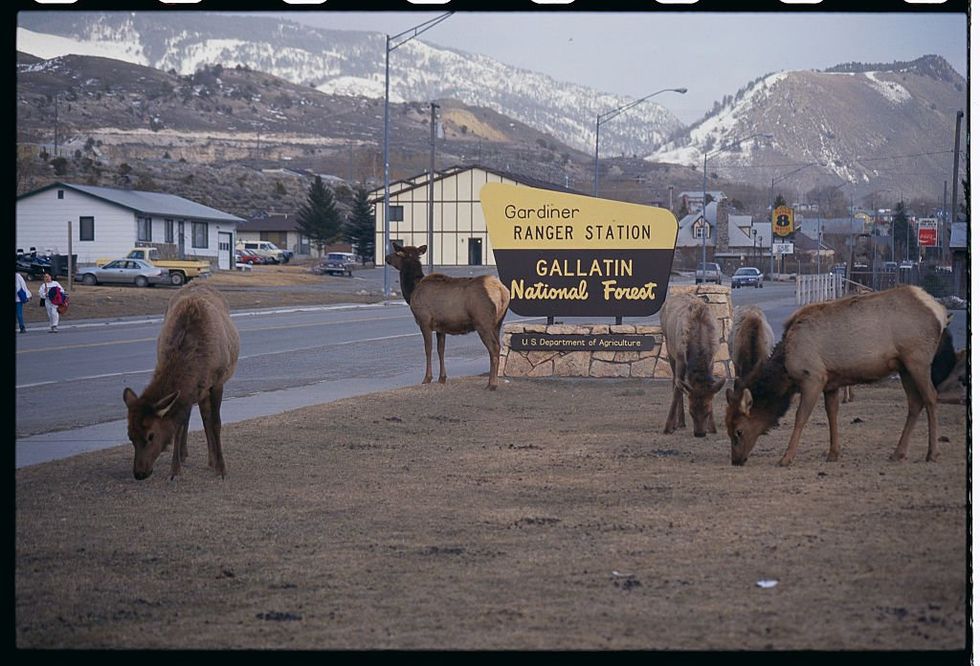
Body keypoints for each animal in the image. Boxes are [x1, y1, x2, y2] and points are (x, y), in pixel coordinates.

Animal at [122, 280, 239, 478]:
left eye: (151, 435)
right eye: (130, 435)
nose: (139, 473)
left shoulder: (217, 383)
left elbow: (216, 423)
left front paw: (221, 468)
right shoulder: (188, 390)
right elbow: (179, 423)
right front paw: (175, 469)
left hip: (205, 387)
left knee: (205, 418)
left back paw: (211, 459)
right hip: (196, 390)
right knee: (191, 417)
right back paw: (185, 454)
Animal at [382, 241, 510, 390]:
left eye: (397, 252)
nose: (386, 257)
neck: (411, 291)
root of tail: (501, 291)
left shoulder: (424, 321)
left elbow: (428, 349)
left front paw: (427, 378)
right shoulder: (441, 327)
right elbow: (441, 349)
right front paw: (442, 378)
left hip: (482, 322)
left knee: (494, 348)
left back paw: (492, 384)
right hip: (498, 323)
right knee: (498, 346)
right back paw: (493, 381)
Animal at [660, 290, 728, 436]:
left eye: (708, 411)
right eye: (691, 411)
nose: (700, 433)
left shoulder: (712, 360)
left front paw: (712, 427)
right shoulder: (680, 357)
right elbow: (678, 389)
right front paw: (668, 427)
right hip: (669, 347)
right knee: (674, 381)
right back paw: (678, 422)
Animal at [728, 282, 956, 464]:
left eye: (739, 431)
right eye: (727, 427)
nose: (736, 460)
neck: (786, 370)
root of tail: (939, 312)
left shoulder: (813, 377)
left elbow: (800, 417)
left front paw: (786, 457)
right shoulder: (831, 382)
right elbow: (832, 414)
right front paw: (833, 453)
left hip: (918, 359)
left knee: (930, 397)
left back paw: (932, 453)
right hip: (904, 367)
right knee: (915, 402)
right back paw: (898, 453)